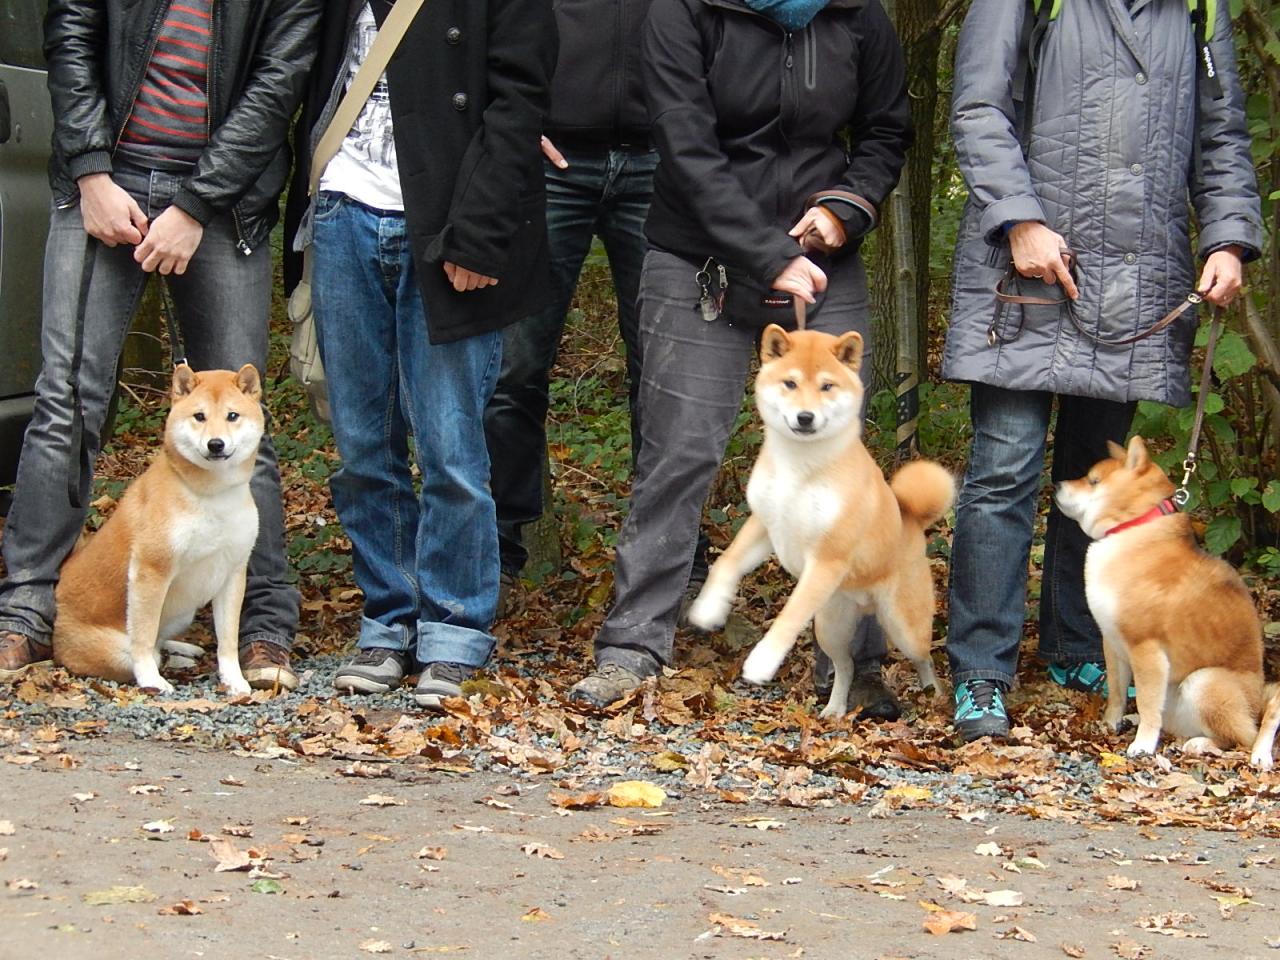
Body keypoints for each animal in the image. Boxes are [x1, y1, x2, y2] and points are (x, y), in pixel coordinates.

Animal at [51, 363, 266, 696]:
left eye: (232, 415)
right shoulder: (151, 571)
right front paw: (151, 680)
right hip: (114, 644)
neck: (211, 494)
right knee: (149, 648)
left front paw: (235, 680)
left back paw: (183, 651)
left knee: (162, 641)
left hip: (183, 610)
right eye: (199, 416)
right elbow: (143, 636)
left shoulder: (232, 573)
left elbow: (228, 640)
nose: (215, 444)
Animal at [691, 327, 952, 716]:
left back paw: (933, 692)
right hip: (831, 625)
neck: (799, 468)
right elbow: (726, 562)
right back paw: (835, 708)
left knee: (924, 657)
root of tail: (912, 518)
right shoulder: (764, 524)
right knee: (845, 666)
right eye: (790, 383)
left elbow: (788, 615)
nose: (805, 417)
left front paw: (763, 660)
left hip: (904, 626)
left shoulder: (827, 557)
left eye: (827, 386)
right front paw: (709, 607)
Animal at [1054, 440, 1280, 773]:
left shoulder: (1146, 650)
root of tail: (1255, 700)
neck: (1132, 529)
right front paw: (1110, 723)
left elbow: (1148, 704)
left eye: (1093, 480)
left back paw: (1205, 745)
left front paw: (1143, 745)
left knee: (1241, 739)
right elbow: (1117, 692)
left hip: (1204, 681)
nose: (1057, 484)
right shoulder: (1112, 641)